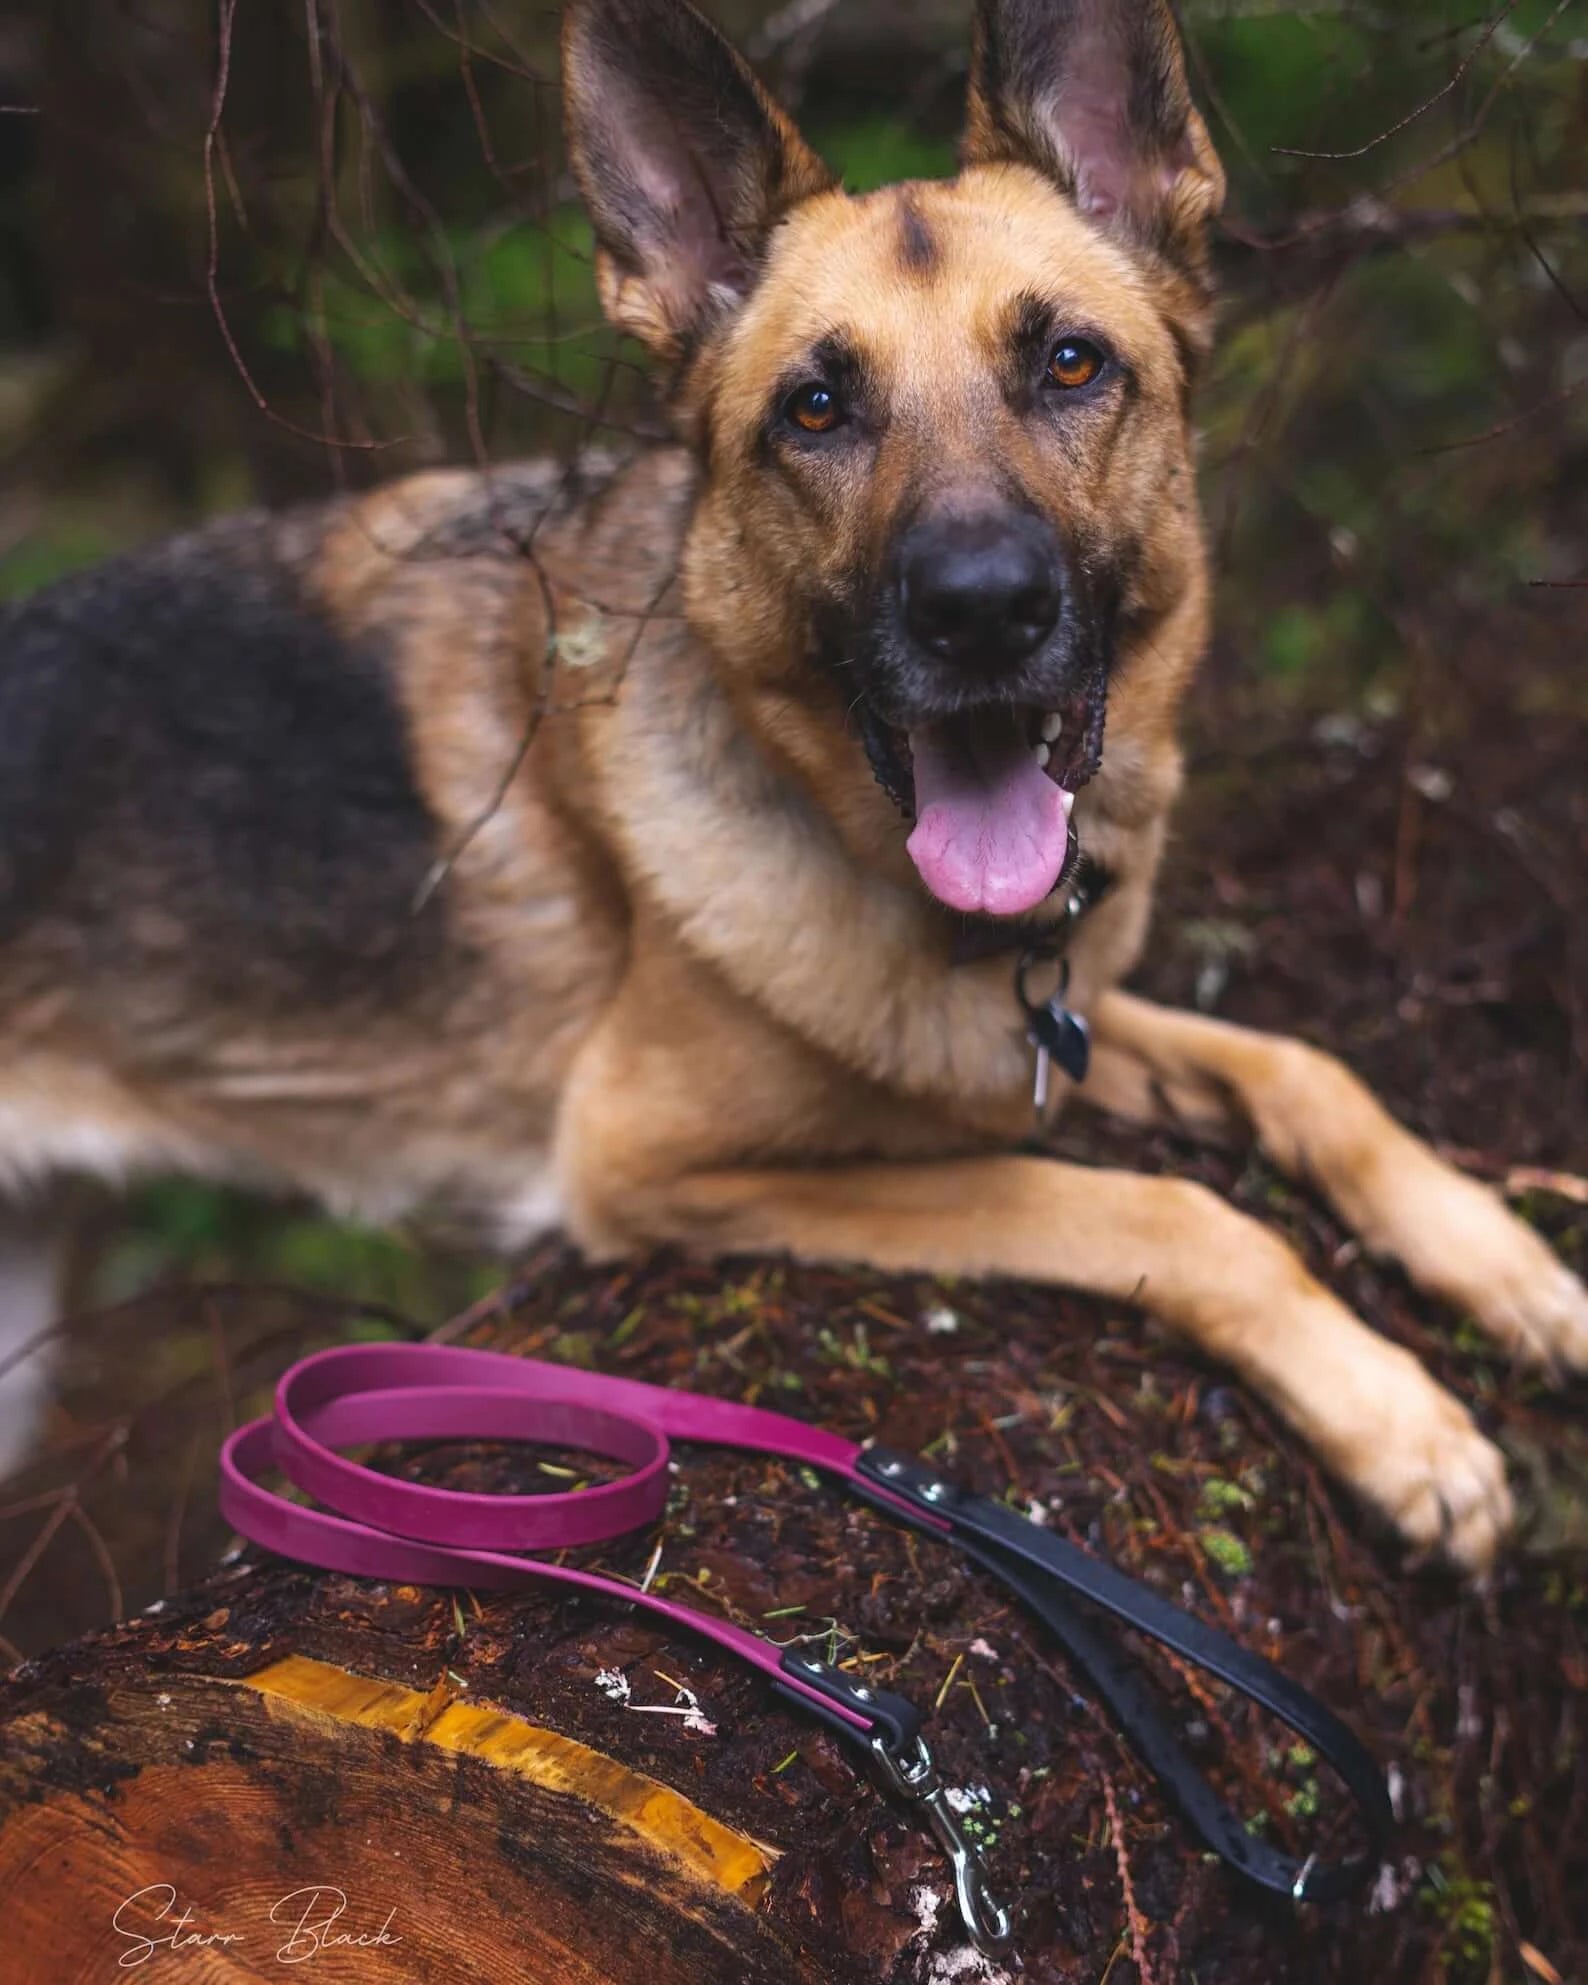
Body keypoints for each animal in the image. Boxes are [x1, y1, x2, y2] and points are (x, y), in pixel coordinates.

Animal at [3, 0, 1588, 1564]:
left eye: (1072, 365)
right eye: (816, 409)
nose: (980, 611)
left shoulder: (1024, 1035)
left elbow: (1304, 1070)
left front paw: (1510, 1264)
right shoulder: (663, 1168)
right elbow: (1176, 1212)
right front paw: (1397, 1420)